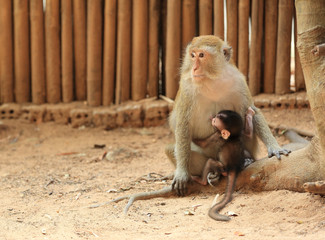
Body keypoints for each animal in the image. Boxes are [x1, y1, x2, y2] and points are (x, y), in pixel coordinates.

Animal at [166, 35, 290, 197]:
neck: (213, 80)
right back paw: (212, 171)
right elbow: (182, 125)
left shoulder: (239, 81)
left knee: (247, 121)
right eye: (192, 55)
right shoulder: (187, 88)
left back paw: (245, 160)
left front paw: (274, 147)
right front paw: (181, 173)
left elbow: (253, 110)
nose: (194, 68)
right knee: (171, 150)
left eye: (202, 55)